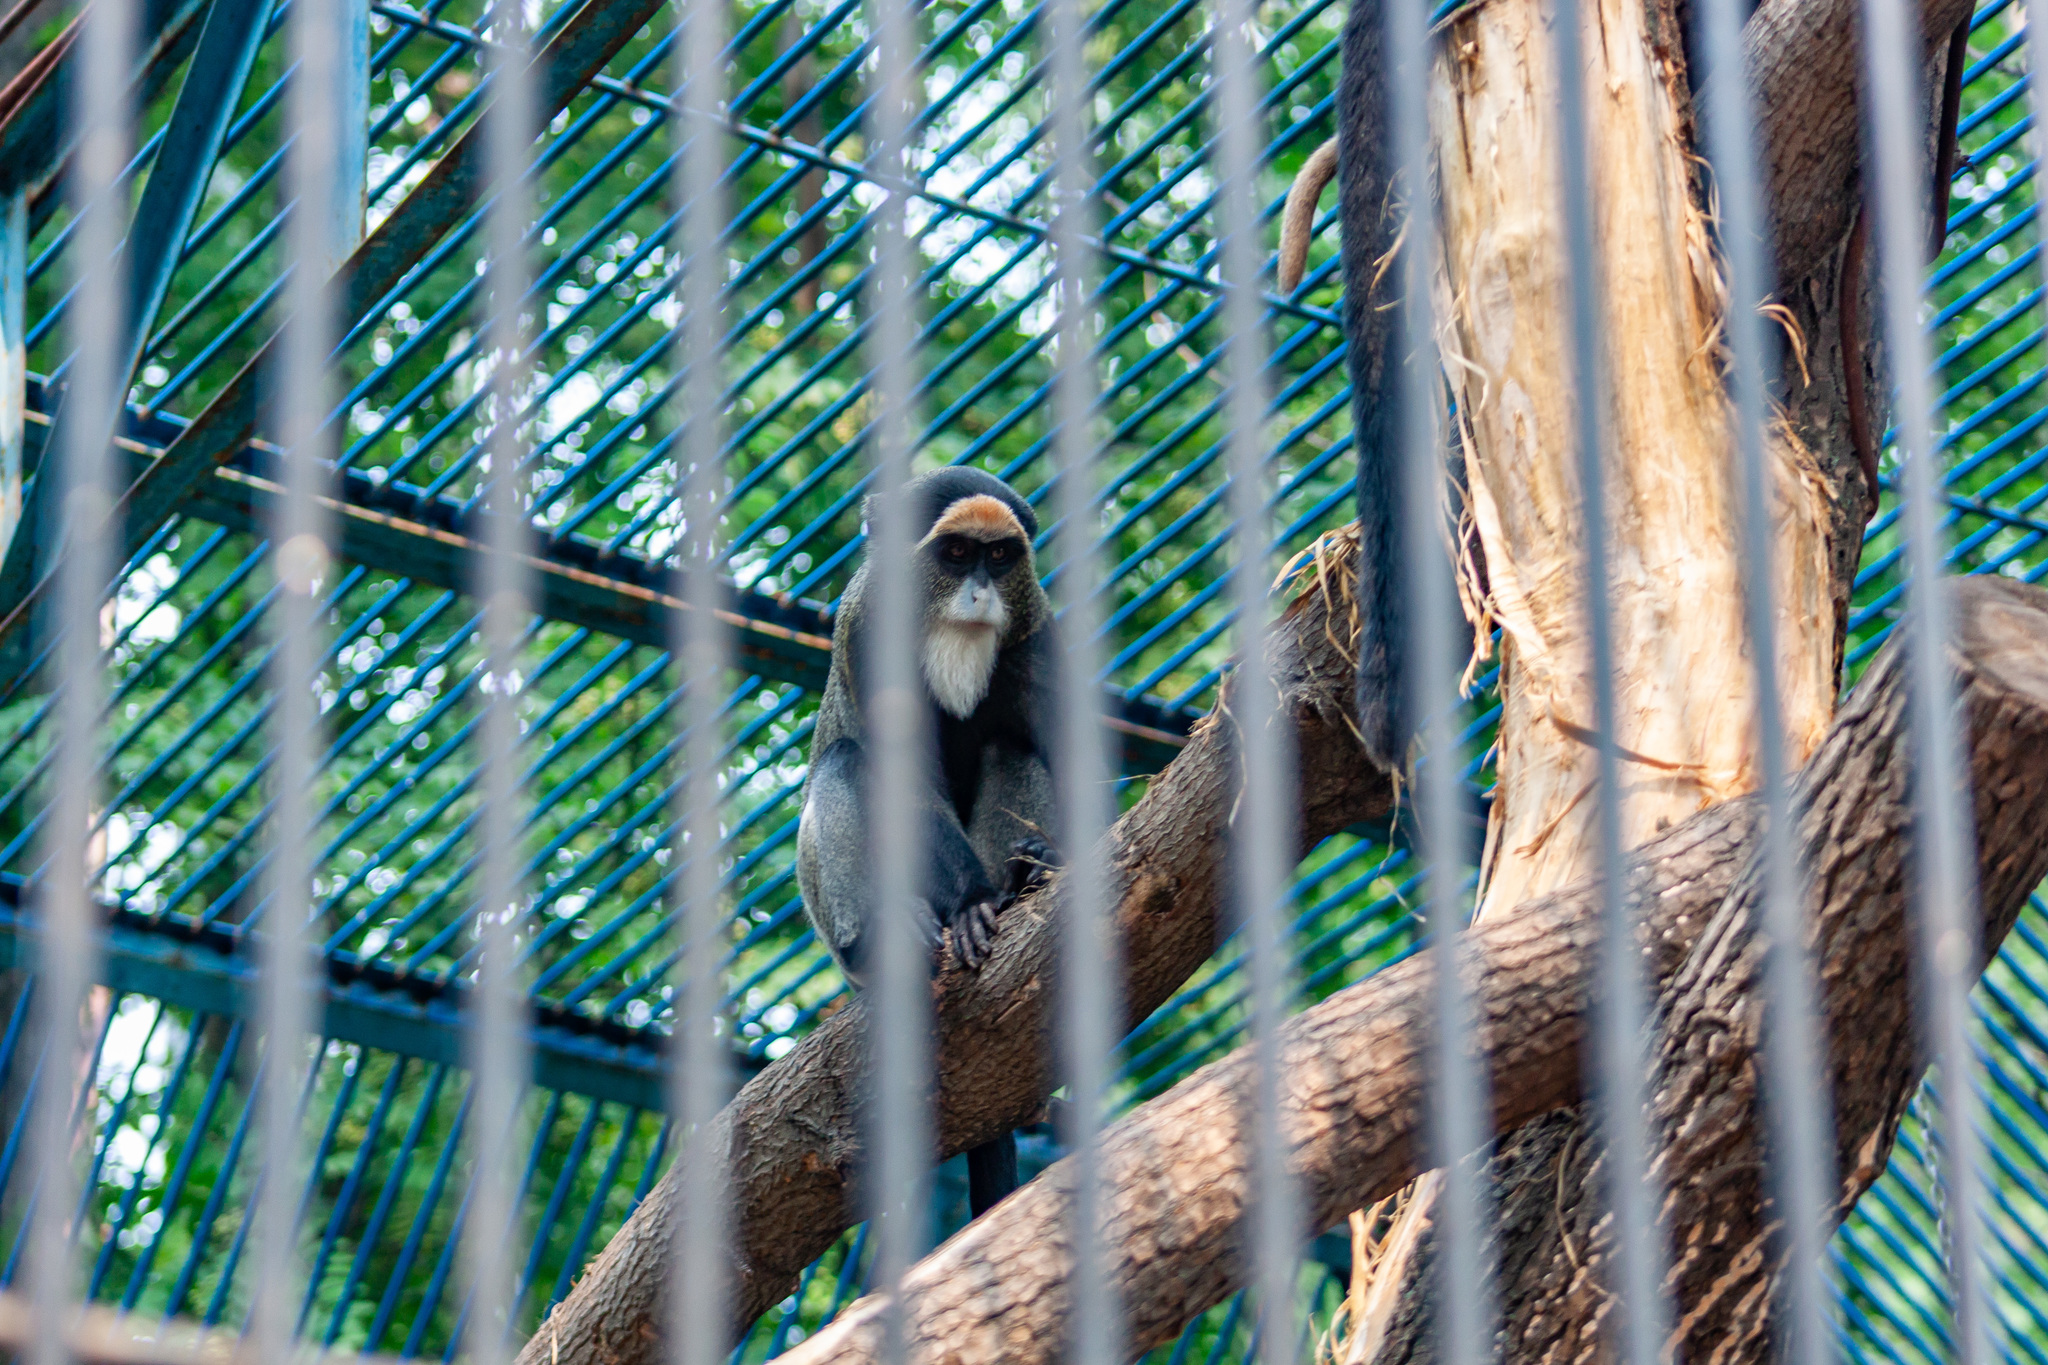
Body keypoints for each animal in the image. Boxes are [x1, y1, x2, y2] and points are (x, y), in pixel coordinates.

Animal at [794, 464, 1064, 1219]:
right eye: (955, 554)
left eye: (998, 558)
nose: (978, 594)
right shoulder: (867, 632)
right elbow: (903, 778)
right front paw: (970, 903)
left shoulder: (1036, 634)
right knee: (845, 761)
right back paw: (889, 934)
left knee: (1011, 743)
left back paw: (1021, 883)